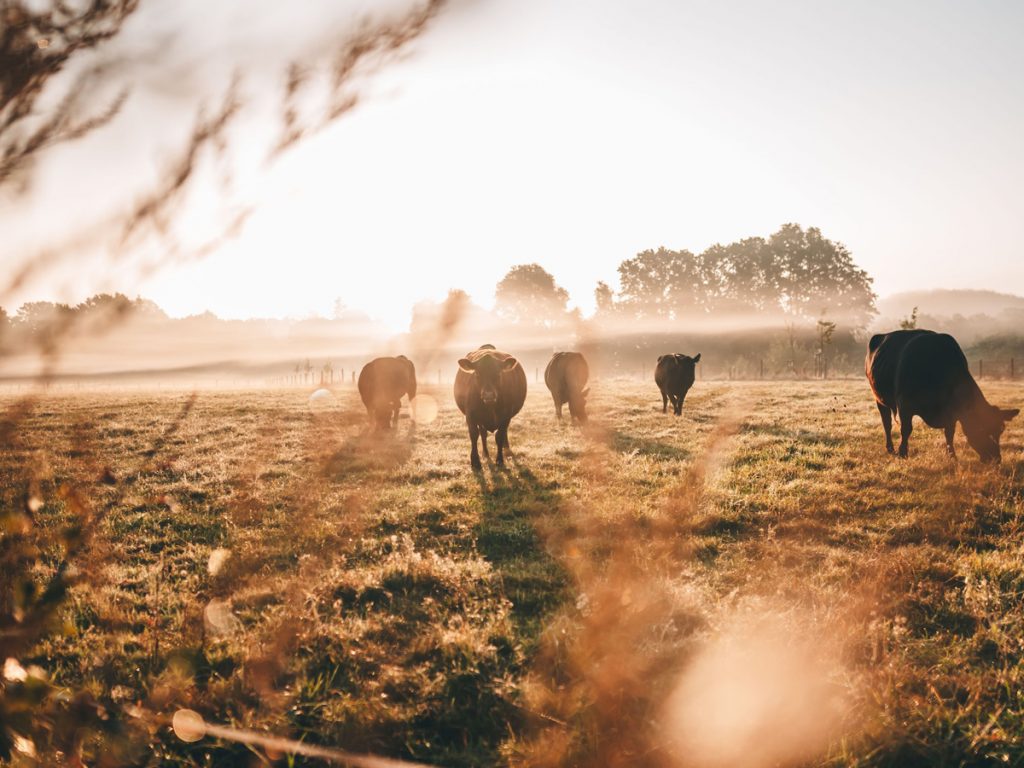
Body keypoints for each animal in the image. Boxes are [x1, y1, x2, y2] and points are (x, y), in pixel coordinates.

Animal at [864, 329, 1015, 462]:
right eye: (982, 428)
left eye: (1000, 431)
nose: (996, 459)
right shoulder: (904, 405)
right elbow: (906, 430)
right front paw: (902, 453)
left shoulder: (951, 412)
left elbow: (949, 433)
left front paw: (952, 456)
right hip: (879, 399)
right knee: (887, 424)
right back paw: (890, 448)